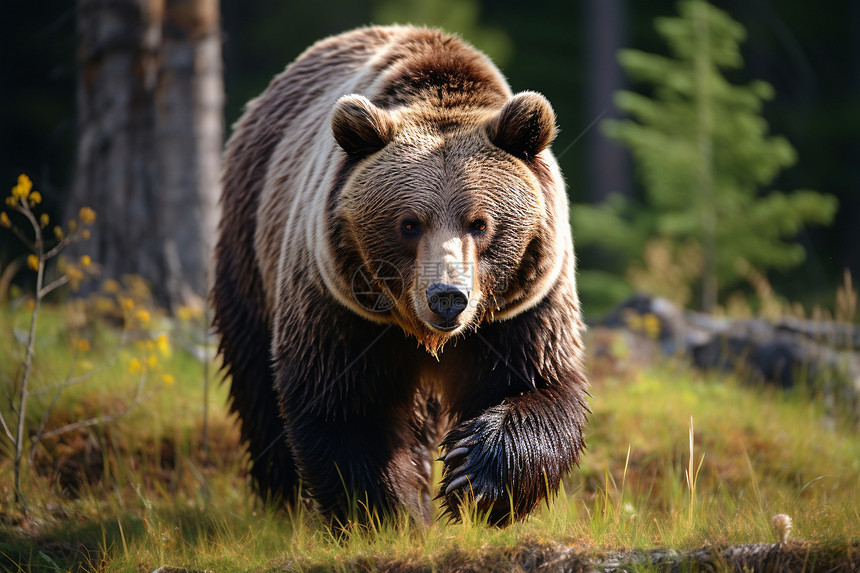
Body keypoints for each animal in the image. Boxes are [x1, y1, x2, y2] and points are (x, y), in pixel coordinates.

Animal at [213, 24, 592, 524]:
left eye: (480, 223)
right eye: (409, 223)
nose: (447, 296)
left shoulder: (523, 308)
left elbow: (538, 384)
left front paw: (473, 474)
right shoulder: (340, 309)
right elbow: (346, 408)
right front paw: (388, 514)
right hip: (250, 244)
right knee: (255, 377)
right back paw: (280, 498)